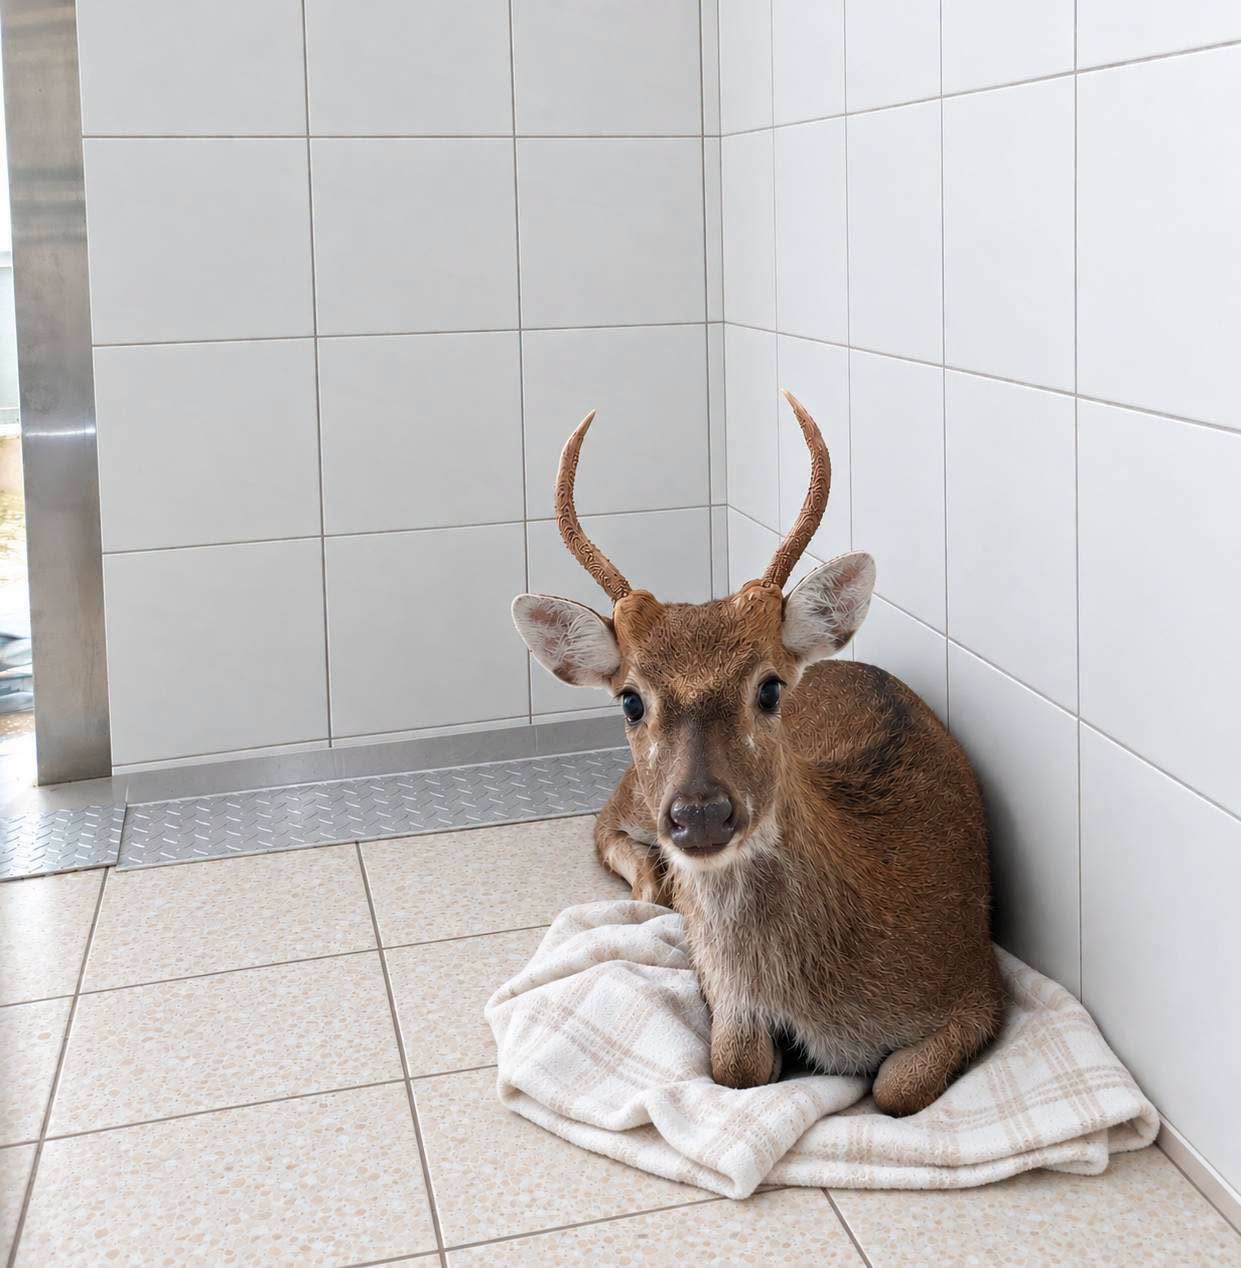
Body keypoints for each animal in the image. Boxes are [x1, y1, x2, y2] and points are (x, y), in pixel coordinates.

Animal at [511, 392, 1004, 1116]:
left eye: (769, 687)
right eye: (630, 699)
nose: (699, 814)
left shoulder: (978, 979)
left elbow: (895, 1087)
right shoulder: (731, 1003)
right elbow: (736, 1066)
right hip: (634, 797)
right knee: (603, 826)